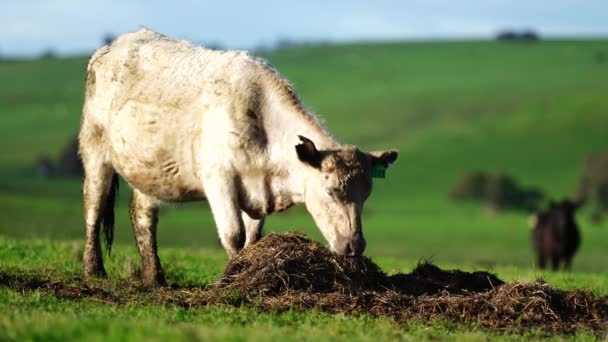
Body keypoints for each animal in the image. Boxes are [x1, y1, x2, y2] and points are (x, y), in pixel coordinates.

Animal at [78, 28, 400, 286]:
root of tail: (118, 43)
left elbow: (251, 239)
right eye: (331, 191)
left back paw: (154, 278)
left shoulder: (256, 191)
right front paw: (230, 279)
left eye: (366, 195)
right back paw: (94, 271)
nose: (354, 245)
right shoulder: (218, 178)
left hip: (150, 169)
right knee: (93, 207)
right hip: (95, 150)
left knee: (143, 216)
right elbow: (233, 235)